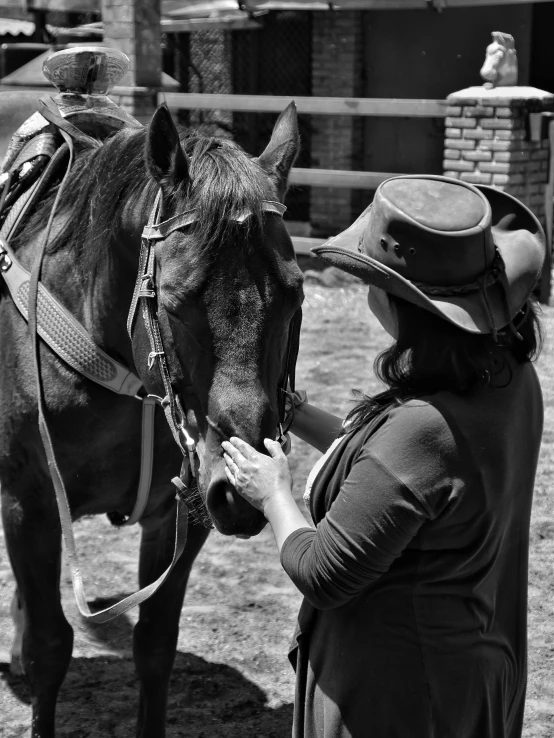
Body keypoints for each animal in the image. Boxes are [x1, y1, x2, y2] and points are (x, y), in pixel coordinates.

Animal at [0, 99, 302, 736]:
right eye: (176, 300)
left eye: (294, 294)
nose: (240, 489)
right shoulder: (29, 505)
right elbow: (49, 648)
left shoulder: (181, 511)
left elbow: (156, 645)